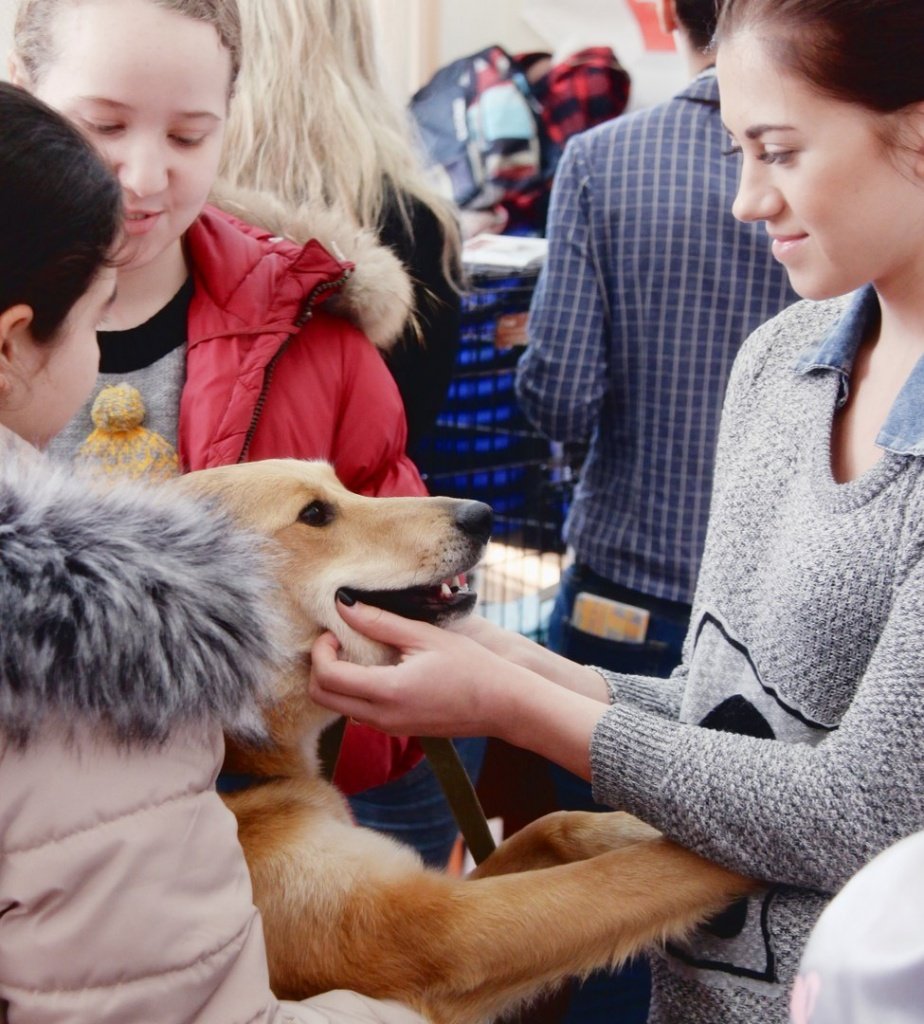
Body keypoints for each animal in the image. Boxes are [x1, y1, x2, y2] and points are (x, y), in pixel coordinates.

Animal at [175, 462, 758, 1024]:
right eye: (314, 514)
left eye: (344, 483)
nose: (482, 514)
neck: (239, 771)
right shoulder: (436, 931)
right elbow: (624, 877)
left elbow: (557, 825)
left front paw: (652, 824)